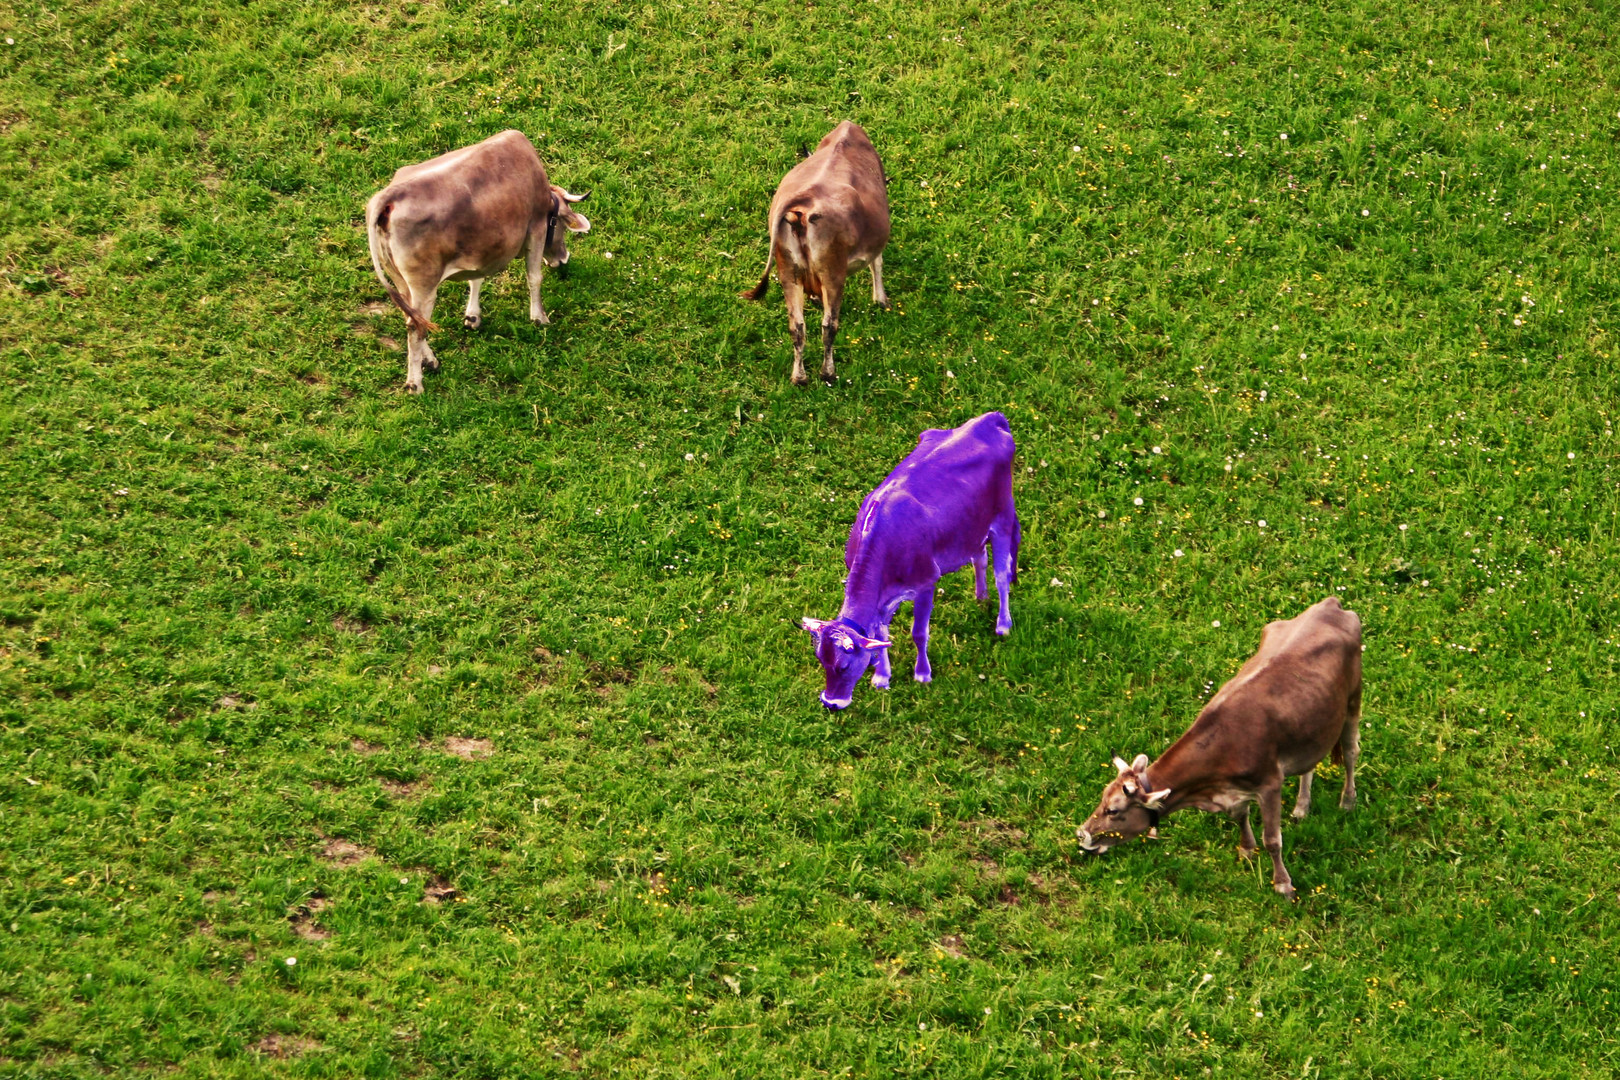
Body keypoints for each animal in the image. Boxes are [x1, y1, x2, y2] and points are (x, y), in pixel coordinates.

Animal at [364, 131, 592, 393]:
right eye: (563, 225)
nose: (563, 259)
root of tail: (389, 196)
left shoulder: (482, 244)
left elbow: (476, 279)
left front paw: (472, 317)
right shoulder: (536, 227)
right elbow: (534, 277)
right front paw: (539, 318)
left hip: (400, 279)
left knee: (412, 317)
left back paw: (430, 360)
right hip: (424, 282)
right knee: (415, 326)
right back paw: (415, 383)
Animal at [741, 121, 894, 388]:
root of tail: (803, 201)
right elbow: (877, 263)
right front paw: (881, 299)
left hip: (787, 269)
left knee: (796, 326)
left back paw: (799, 377)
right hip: (833, 272)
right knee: (829, 325)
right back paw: (828, 373)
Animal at [803, 411, 1017, 709]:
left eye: (843, 666)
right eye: (821, 660)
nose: (831, 703)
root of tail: (989, 418)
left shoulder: (927, 582)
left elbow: (919, 632)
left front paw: (922, 674)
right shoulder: (883, 596)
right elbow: (879, 635)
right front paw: (882, 677)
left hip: (1003, 516)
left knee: (1002, 574)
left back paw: (1003, 625)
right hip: (971, 525)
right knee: (979, 557)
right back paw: (980, 597)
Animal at [1075, 595, 1367, 900]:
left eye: (1113, 811)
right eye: (1101, 798)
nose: (1081, 835)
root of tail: (1330, 604)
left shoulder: (1269, 784)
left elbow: (1273, 840)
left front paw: (1283, 884)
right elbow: (1240, 816)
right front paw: (1246, 849)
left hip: (1353, 699)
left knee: (1350, 753)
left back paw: (1348, 801)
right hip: (1311, 723)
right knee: (1309, 763)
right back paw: (1301, 806)